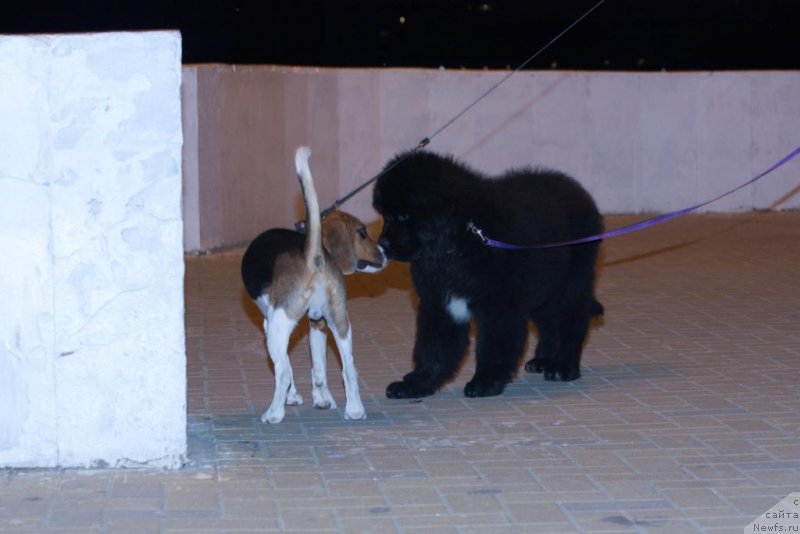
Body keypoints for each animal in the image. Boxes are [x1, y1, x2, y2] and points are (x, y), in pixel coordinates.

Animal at [239, 149, 386, 426]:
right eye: (362, 233)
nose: (385, 253)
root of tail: (313, 253)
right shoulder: (318, 323)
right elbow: (319, 369)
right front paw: (322, 399)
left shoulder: (269, 322)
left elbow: (286, 364)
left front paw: (292, 396)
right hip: (341, 323)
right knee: (349, 368)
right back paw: (354, 410)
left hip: (279, 323)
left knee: (283, 372)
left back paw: (273, 414)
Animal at [372, 151, 604, 402]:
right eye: (385, 216)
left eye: (404, 216)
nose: (382, 245)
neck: (461, 239)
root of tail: (578, 190)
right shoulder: (440, 304)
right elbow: (433, 347)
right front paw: (417, 383)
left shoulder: (500, 306)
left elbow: (493, 346)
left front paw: (485, 382)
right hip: (544, 288)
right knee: (549, 324)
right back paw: (542, 360)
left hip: (570, 283)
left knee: (571, 323)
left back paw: (563, 367)